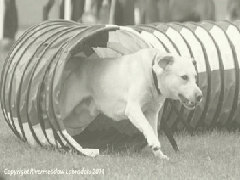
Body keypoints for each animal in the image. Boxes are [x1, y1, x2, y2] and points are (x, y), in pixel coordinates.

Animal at [59, 47, 202, 159]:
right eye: (184, 77)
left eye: (195, 77)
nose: (200, 96)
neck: (152, 74)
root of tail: (82, 62)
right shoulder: (133, 109)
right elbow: (147, 126)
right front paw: (154, 143)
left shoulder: (152, 113)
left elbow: (153, 130)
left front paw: (159, 155)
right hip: (68, 106)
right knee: (59, 121)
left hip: (82, 117)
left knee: (67, 126)